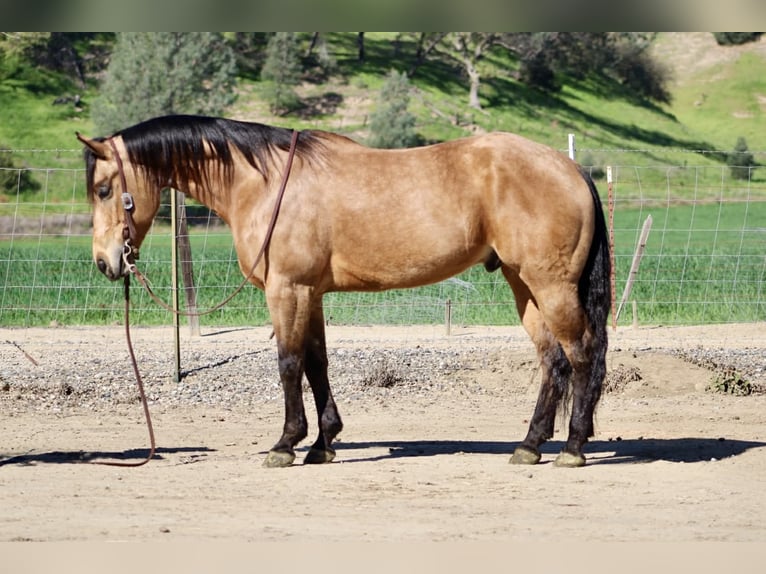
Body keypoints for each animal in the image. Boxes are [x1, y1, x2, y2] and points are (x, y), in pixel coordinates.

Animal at [77, 114, 610, 468]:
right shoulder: (309, 294)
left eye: (104, 190)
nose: (105, 262)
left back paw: (573, 447)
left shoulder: (287, 290)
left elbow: (289, 363)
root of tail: (571, 168)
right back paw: (530, 445)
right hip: (525, 285)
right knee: (554, 361)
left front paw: (285, 444)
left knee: (582, 353)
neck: (265, 183)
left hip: (550, 285)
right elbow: (317, 364)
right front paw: (322, 443)